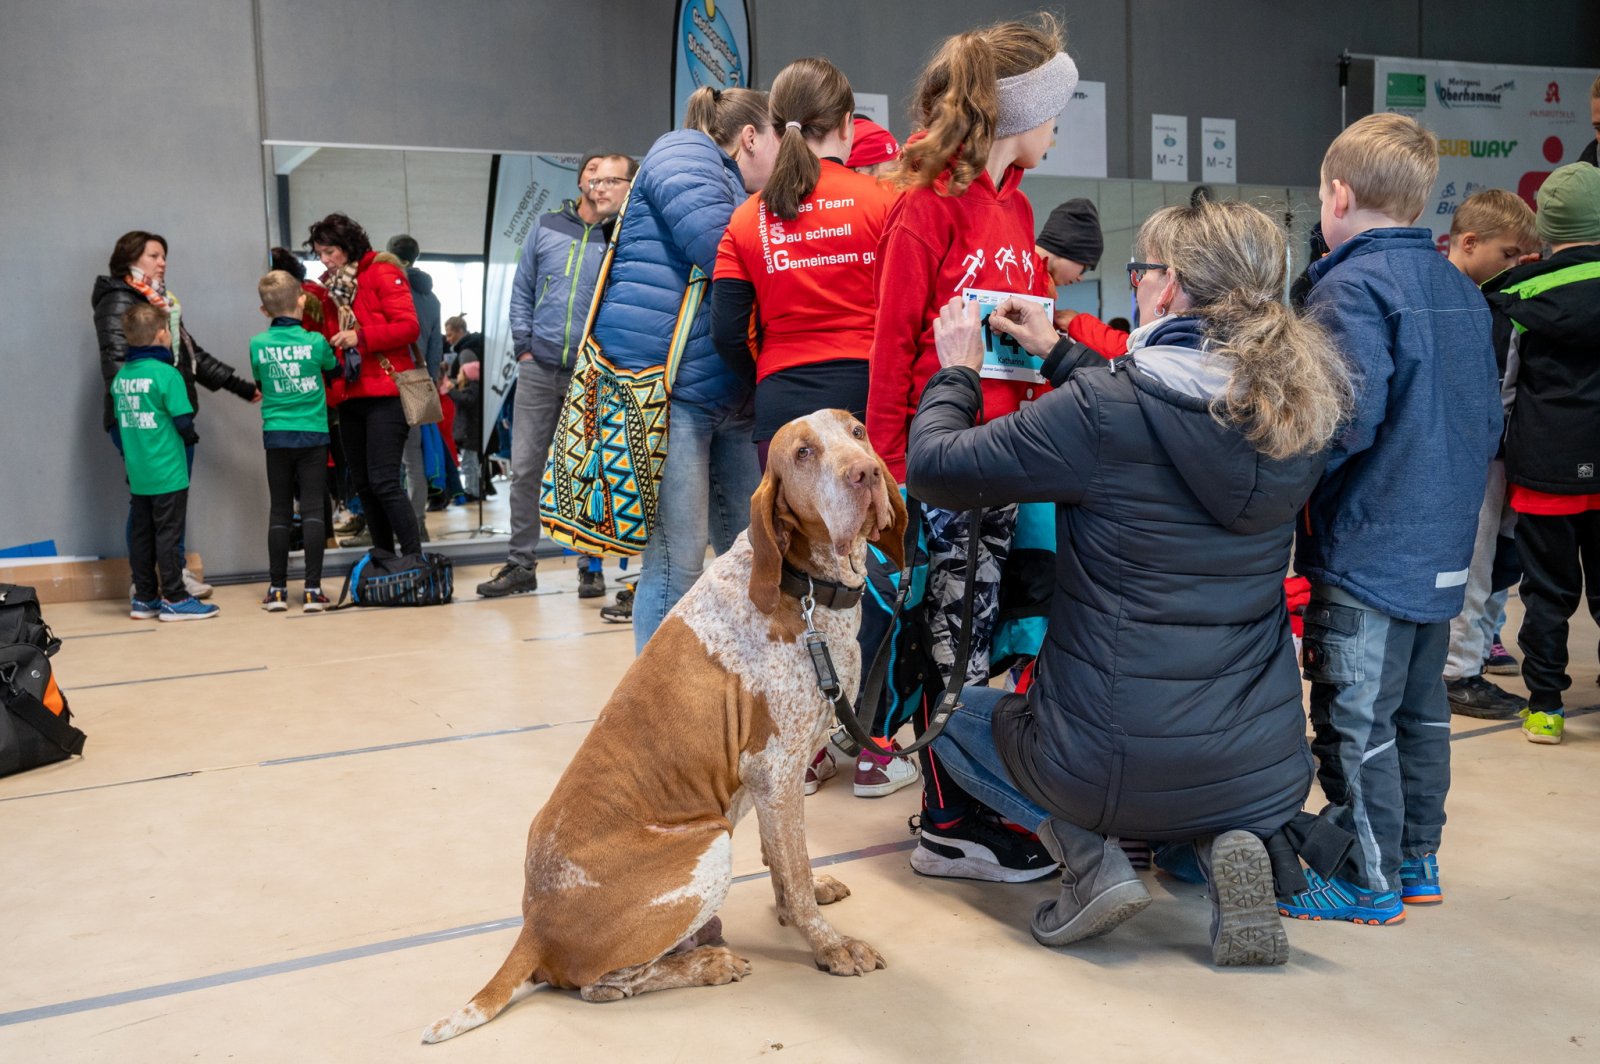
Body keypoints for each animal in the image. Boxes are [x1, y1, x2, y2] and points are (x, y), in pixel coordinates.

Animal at [423, 410, 907, 1043]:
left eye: (857, 432)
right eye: (803, 452)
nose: (867, 473)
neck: (803, 588)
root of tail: (533, 926)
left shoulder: (774, 782)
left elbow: (786, 864)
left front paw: (796, 905)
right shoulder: (775, 771)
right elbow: (796, 874)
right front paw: (827, 946)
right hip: (709, 845)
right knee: (601, 986)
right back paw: (706, 964)